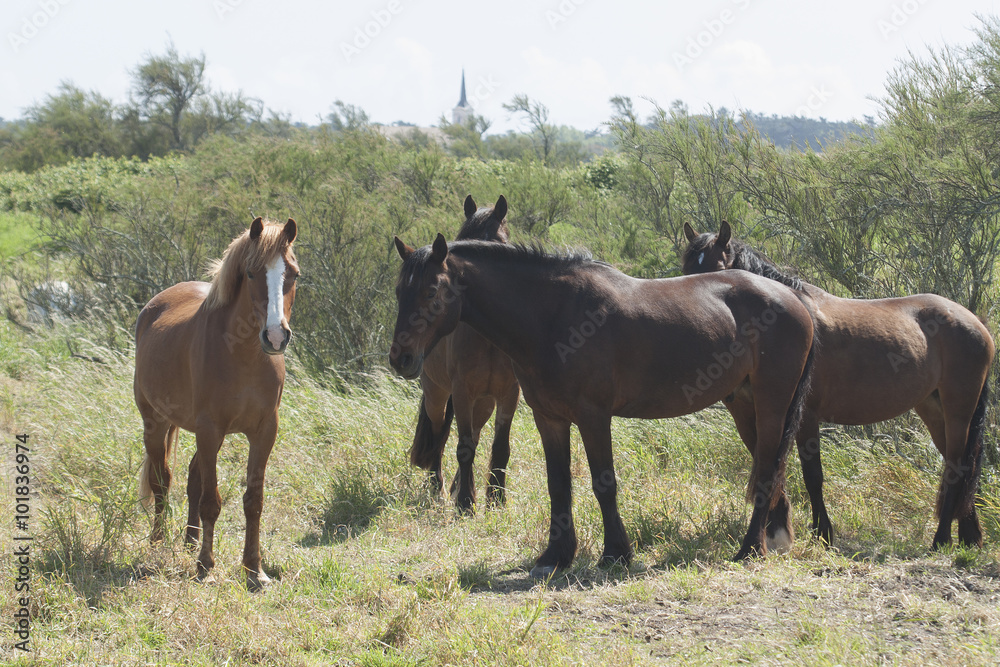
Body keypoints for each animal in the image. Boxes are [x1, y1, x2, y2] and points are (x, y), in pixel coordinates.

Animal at [137, 217, 300, 588]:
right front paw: (205, 566)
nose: (275, 337)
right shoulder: (210, 429)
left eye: (294, 274)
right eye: (252, 273)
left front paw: (254, 570)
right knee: (161, 480)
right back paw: (158, 540)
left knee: (192, 478)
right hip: (156, 422)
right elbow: (212, 500)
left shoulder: (264, 431)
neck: (244, 356)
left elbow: (253, 501)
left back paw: (190, 538)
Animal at [388, 236, 812, 580]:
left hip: (772, 406)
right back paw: (772, 537)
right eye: (399, 292)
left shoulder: (593, 417)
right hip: (745, 405)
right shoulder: (549, 418)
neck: (554, 314)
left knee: (767, 471)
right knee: (769, 466)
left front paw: (615, 553)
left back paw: (749, 549)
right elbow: (558, 484)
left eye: (431, 292)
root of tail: (795, 299)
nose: (401, 359)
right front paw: (555, 556)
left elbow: (603, 483)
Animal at [410, 196, 524, 508]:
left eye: (500, 242)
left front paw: (495, 498)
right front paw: (465, 502)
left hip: (483, 402)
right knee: (439, 434)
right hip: (437, 395)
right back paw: (436, 487)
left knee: (473, 433)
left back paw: (457, 486)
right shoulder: (461, 392)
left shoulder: (508, 394)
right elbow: (461, 445)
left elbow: (499, 447)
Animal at [680, 222, 992, 552]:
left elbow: (810, 475)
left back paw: (941, 539)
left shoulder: (804, 416)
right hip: (935, 410)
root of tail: (976, 323)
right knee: (962, 467)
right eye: (685, 269)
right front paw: (779, 531)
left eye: (717, 270)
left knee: (957, 469)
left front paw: (822, 533)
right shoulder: (753, 413)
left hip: (958, 412)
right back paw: (969, 535)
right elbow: (769, 465)